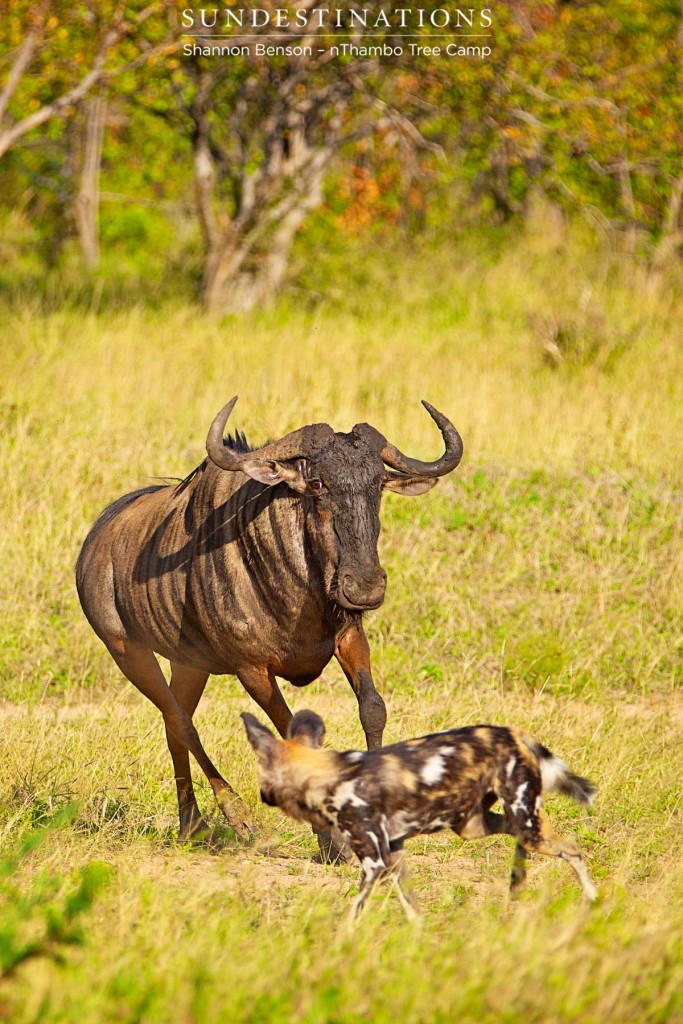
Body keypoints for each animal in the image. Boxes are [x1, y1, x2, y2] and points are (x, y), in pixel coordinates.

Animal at [242, 712, 593, 921]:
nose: (263, 795)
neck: (329, 775)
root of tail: (513, 733)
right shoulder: (393, 854)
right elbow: (412, 908)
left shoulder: (374, 862)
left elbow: (354, 912)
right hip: (475, 824)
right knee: (533, 838)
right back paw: (518, 885)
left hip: (522, 820)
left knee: (571, 847)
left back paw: (594, 899)